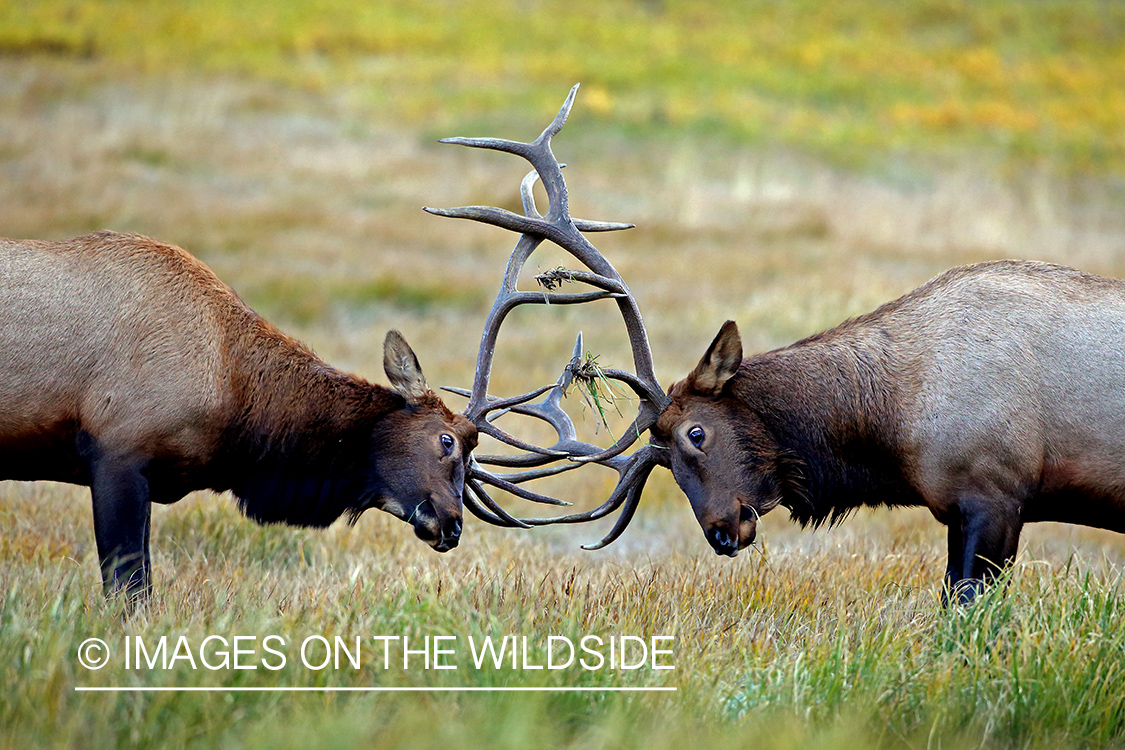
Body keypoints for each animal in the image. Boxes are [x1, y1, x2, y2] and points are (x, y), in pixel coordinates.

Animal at [657, 264, 1125, 602]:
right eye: (665, 463)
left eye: (695, 434)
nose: (718, 532)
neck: (899, 421)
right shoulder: (957, 506)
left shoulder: (998, 496)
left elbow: (971, 607)